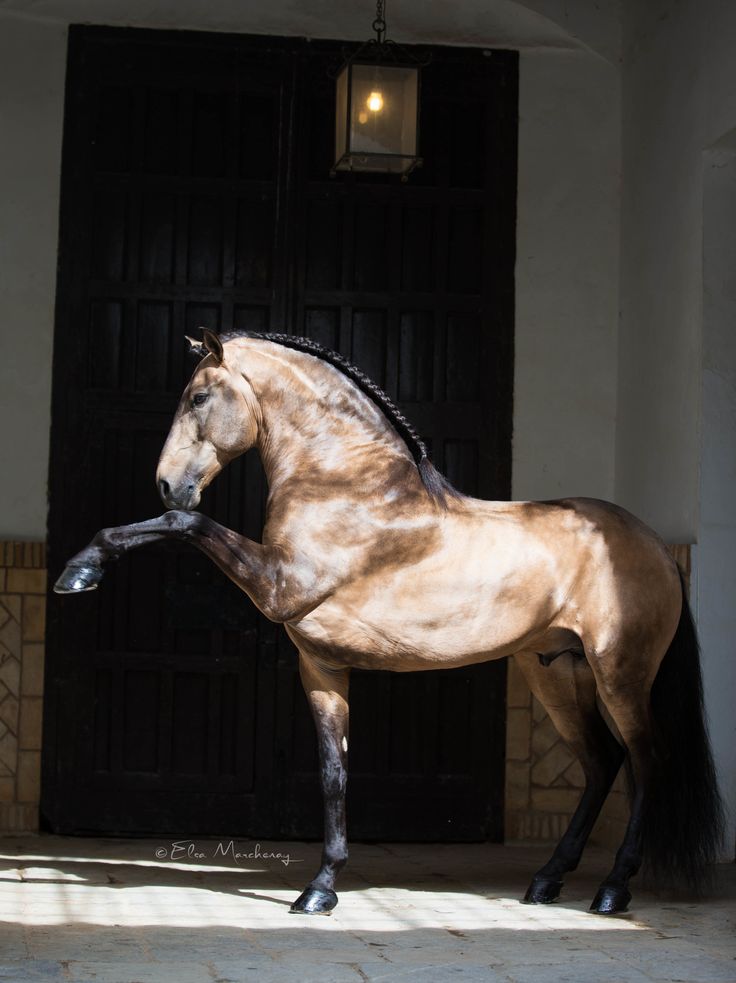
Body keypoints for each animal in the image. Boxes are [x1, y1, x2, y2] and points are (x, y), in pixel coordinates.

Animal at [53, 328, 724, 916]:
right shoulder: (321, 665)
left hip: (620, 676)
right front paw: (321, 889)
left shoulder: (278, 586)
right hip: (555, 673)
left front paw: (80, 570)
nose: (169, 483)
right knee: (602, 763)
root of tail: (657, 546)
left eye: (197, 396)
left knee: (646, 761)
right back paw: (547, 880)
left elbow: (184, 526)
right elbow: (333, 774)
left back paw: (612, 890)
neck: (347, 482)